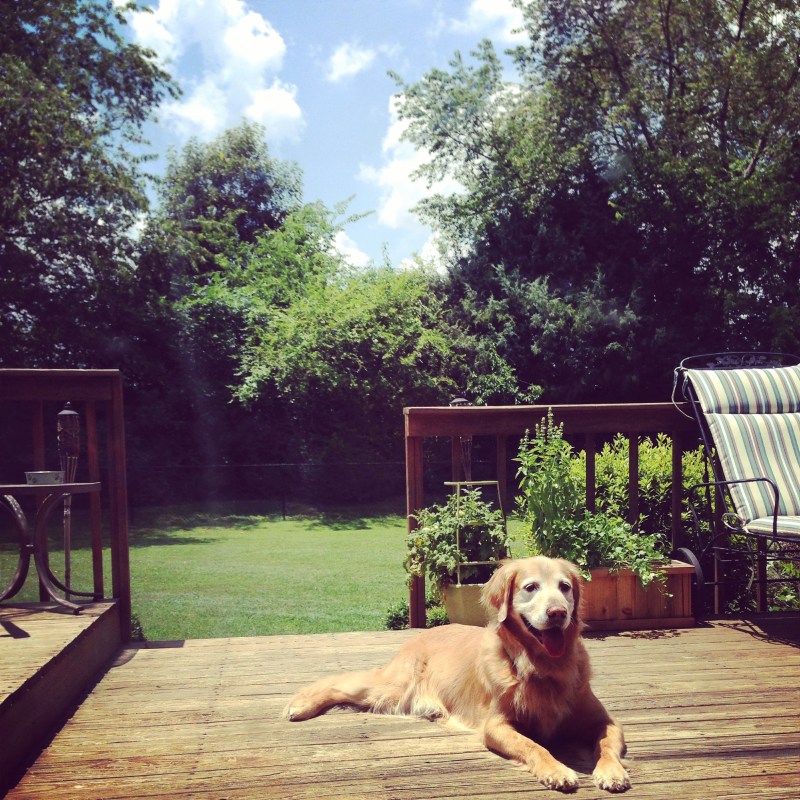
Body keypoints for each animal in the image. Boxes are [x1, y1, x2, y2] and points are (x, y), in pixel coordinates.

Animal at [284, 556, 630, 793]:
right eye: (530, 587)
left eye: (565, 587)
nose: (558, 613)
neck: (541, 666)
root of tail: (421, 633)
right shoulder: (496, 725)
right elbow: (535, 746)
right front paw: (556, 770)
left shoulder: (606, 721)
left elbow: (606, 744)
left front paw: (612, 772)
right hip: (393, 688)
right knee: (336, 682)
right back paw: (300, 705)